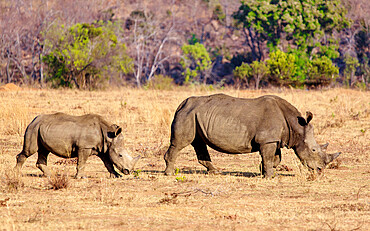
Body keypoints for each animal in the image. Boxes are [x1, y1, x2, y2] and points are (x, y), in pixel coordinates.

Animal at [165, 94, 342, 178]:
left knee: (198, 143)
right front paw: (268, 176)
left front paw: (264, 171)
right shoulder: (267, 140)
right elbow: (270, 158)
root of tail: (182, 104)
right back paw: (169, 173)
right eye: (313, 150)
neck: (296, 126)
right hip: (188, 115)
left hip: (194, 115)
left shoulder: (273, 139)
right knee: (180, 143)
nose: (320, 170)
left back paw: (215, 172)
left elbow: (275, 159)